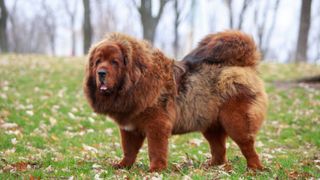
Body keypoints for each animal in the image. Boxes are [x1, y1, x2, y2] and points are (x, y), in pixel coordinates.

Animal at [84, 30, 268, 172]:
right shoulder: (129, 127)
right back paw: (211, 167)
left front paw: (156, 170)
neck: (136, 82)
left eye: (114, 62)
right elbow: (129, 150)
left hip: (236, 122)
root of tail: (244, 66)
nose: (101, 73)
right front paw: (123, 166)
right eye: (98, 61)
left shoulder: (156, 124)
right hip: (210, 124)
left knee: (247, 146)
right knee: (219, 150)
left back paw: (254, 168)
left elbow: (156, 149)